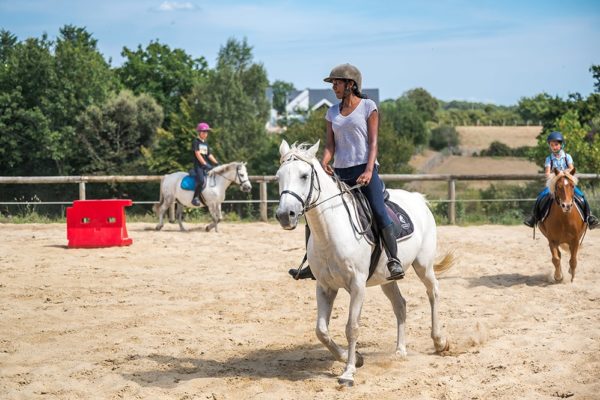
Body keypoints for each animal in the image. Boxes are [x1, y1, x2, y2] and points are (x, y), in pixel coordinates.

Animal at [274, 141, 452, 388]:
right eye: (278, 176)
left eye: (304, 175)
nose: (285, 215)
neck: (330, 232)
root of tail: (418, 199)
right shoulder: (324, 286)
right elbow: (321, 331)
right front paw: (354, 359)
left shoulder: (357, 286)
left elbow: (352, 327)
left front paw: (348, 372)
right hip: (387, 278)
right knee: (400, 305)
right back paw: (400, 351)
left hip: (423, 265)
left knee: (433, 291)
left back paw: (439, 341)